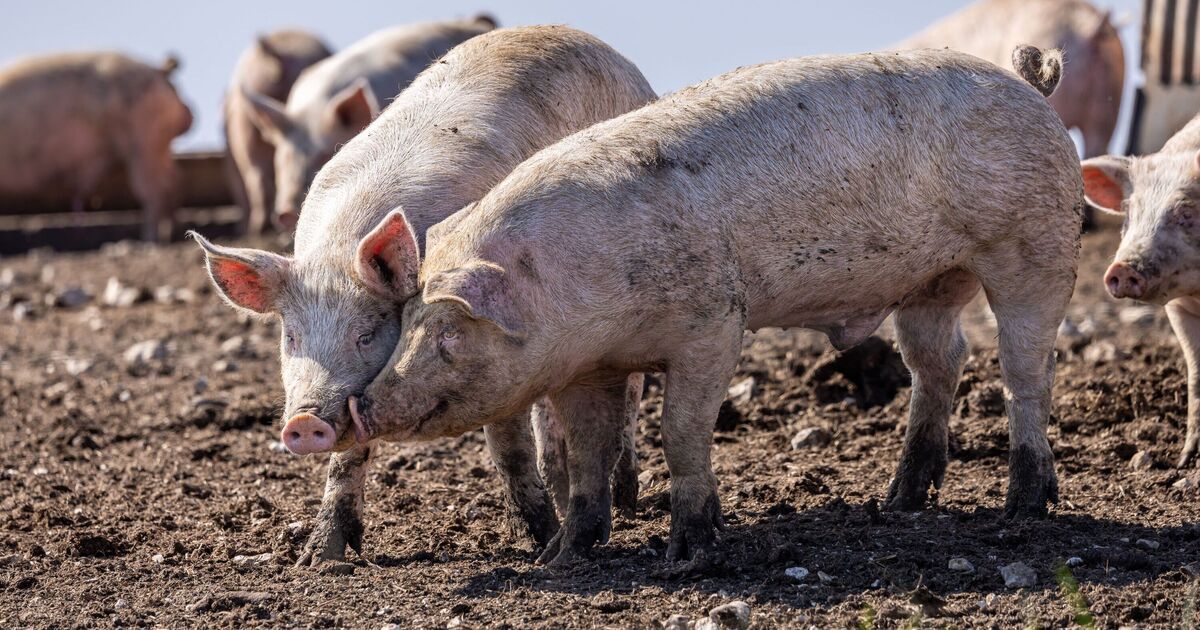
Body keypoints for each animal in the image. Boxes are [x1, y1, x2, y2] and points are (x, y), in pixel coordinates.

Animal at [0, 52, 193, 242]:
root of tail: (158, 71)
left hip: (143, 142)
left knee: (155, 191)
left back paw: (149, 241)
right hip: (158, 146)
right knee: (176, 180)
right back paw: (172, 232)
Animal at [350, 46, 1083, 567]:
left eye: (449, 330)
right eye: (406, 320)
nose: (364, 405)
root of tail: (1030, 86)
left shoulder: (713, 323)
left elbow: (680, 430)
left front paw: (690, 553)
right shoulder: (587, 366)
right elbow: (588, 453)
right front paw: (561, 557)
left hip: (1036, 242)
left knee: (1026, 372)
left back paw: (1023, 509)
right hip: (932, 281)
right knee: (941, 361)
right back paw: (900, 501)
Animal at [1081, 113, 1200, 468]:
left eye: (1186, 212)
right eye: (1130, 213)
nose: (1122, 268)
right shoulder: (1179, 309)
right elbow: (1195, 376)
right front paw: (1184, 461)